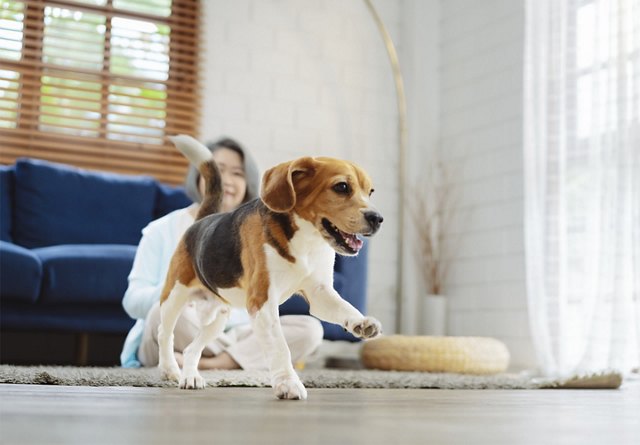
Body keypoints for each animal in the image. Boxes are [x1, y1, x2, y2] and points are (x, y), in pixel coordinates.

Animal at [158, 135, 382, 398]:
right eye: (342, 187)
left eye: (370, 191)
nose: (377, 219)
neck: (307, 240)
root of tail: (202, 220)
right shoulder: (263, 300)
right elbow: (280, 346)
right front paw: (288, 383)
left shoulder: (320, 294)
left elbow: (344, 307)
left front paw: (360, 322)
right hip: (174, 297)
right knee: (165, 333)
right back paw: (170, 370)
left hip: (217, 318)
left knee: (192, 348)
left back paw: (190, 376)